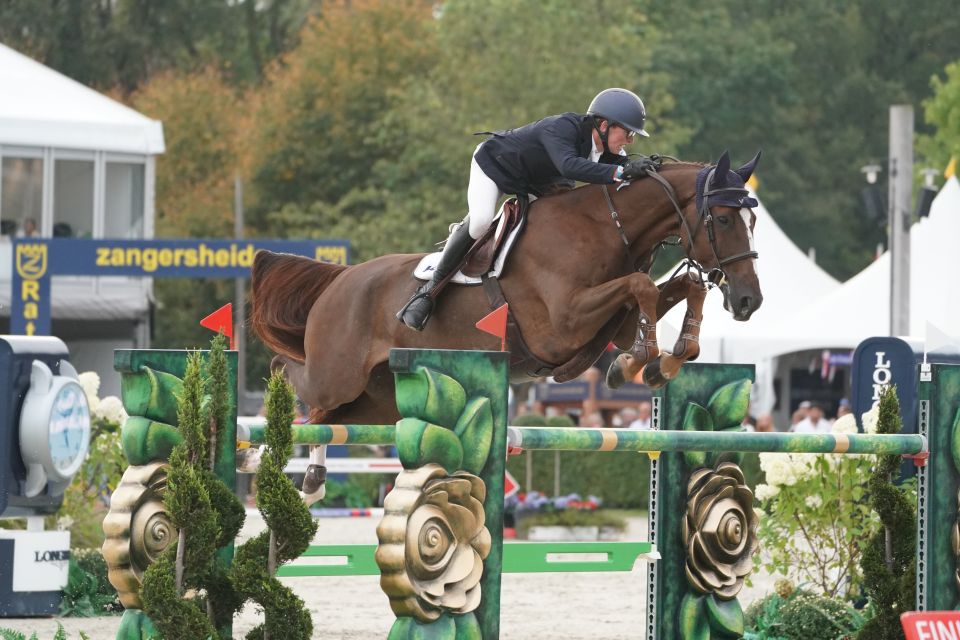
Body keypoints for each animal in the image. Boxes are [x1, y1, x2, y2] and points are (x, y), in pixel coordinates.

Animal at [253, 151, 764, 430]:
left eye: (753, 219)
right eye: (723, 219)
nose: (748, 301)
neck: (605, 228)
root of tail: (340, 279)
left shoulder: (613, 322)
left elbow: (683, 287)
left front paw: (666, 361)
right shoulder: (560, 327)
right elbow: (641, 285)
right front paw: (633, 364)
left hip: (374, 400)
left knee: (328, 418)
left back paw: (313, 480)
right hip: (338, 375)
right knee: (296, 377)